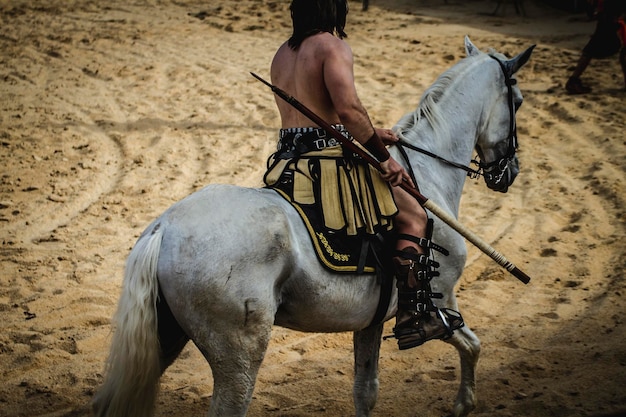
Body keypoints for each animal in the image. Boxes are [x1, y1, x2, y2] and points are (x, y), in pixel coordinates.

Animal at [92, 38, 532, 416]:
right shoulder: (442, 301)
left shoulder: (371, 323)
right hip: (239, 355)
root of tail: (164, 227)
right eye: (519, 102)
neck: (427, 173)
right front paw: (463, 404)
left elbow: (366, 391)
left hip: (166, 335)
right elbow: (472, 345)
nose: (508, 173)